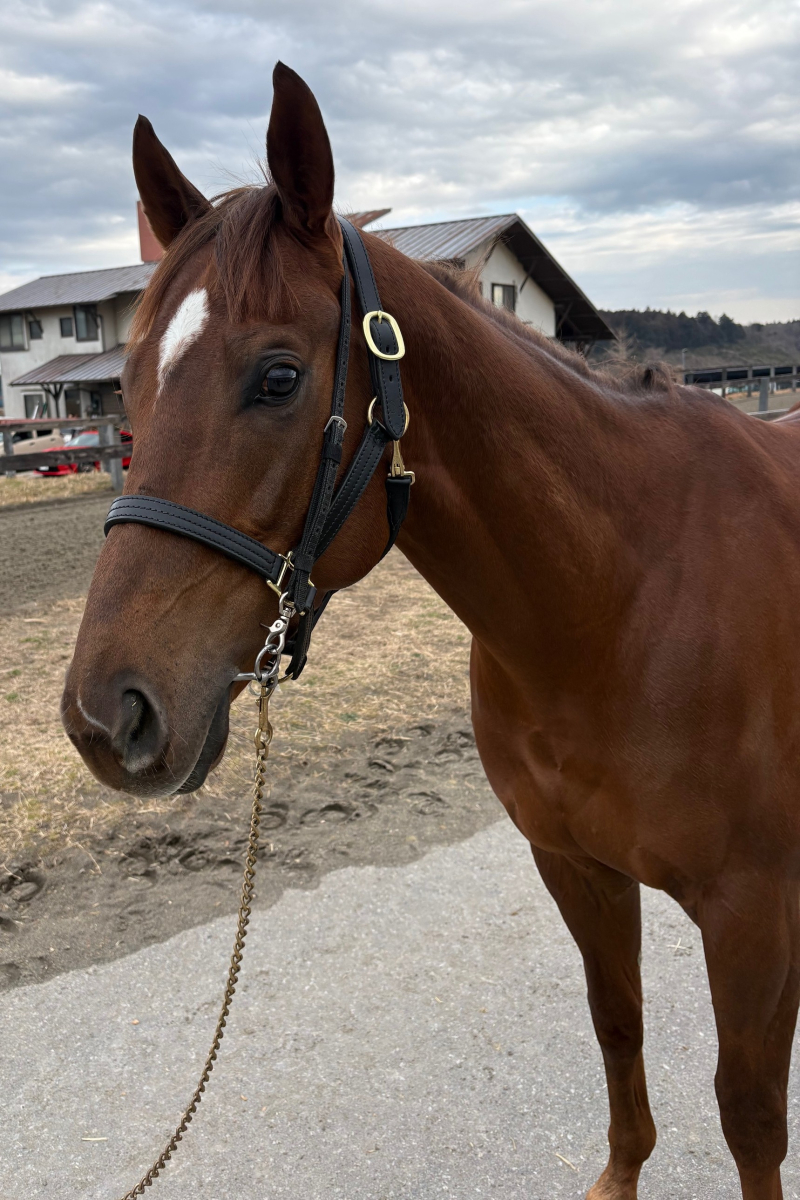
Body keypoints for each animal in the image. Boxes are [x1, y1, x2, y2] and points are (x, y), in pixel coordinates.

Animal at [62, 63, 800, 1200]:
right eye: (129, 383)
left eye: (278, 377)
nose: (108, 718)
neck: (624, 603)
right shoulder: (575, 868)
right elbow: (616, 1027)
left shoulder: (752, 913)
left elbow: (750, 1117)